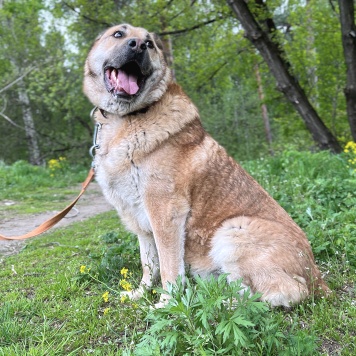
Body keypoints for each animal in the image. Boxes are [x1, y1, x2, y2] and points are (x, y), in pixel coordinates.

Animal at [84, 24, 330, 308]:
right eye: (118, 34)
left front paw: (168, 305)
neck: (128, 117)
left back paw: (220, 305)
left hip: (232, 231)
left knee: (282, 292)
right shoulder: (140, 221)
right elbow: (149, 264)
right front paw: (140, 293)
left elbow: (169, 267)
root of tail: (317, 279)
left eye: (150, 44)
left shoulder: (165, 213)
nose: (138, 46)